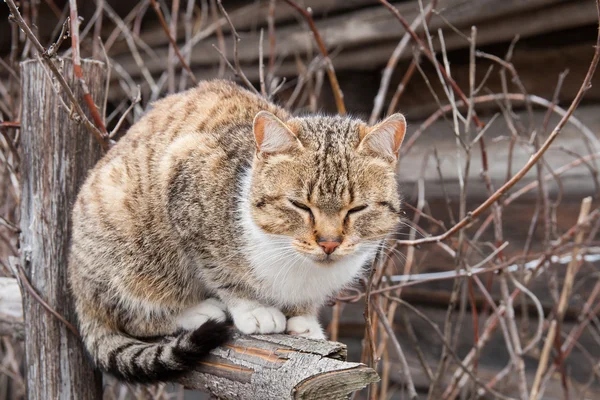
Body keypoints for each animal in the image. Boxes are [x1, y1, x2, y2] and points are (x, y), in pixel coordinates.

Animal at [69, 79, 408, 382]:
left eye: (357, 209)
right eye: (300, 205)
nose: (329, 243)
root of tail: (79, 290)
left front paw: (303, 318)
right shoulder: (185, 180)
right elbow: (221, 271)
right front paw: (254, 309)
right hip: (127, 245)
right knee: (133, 315)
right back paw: (196, 311)